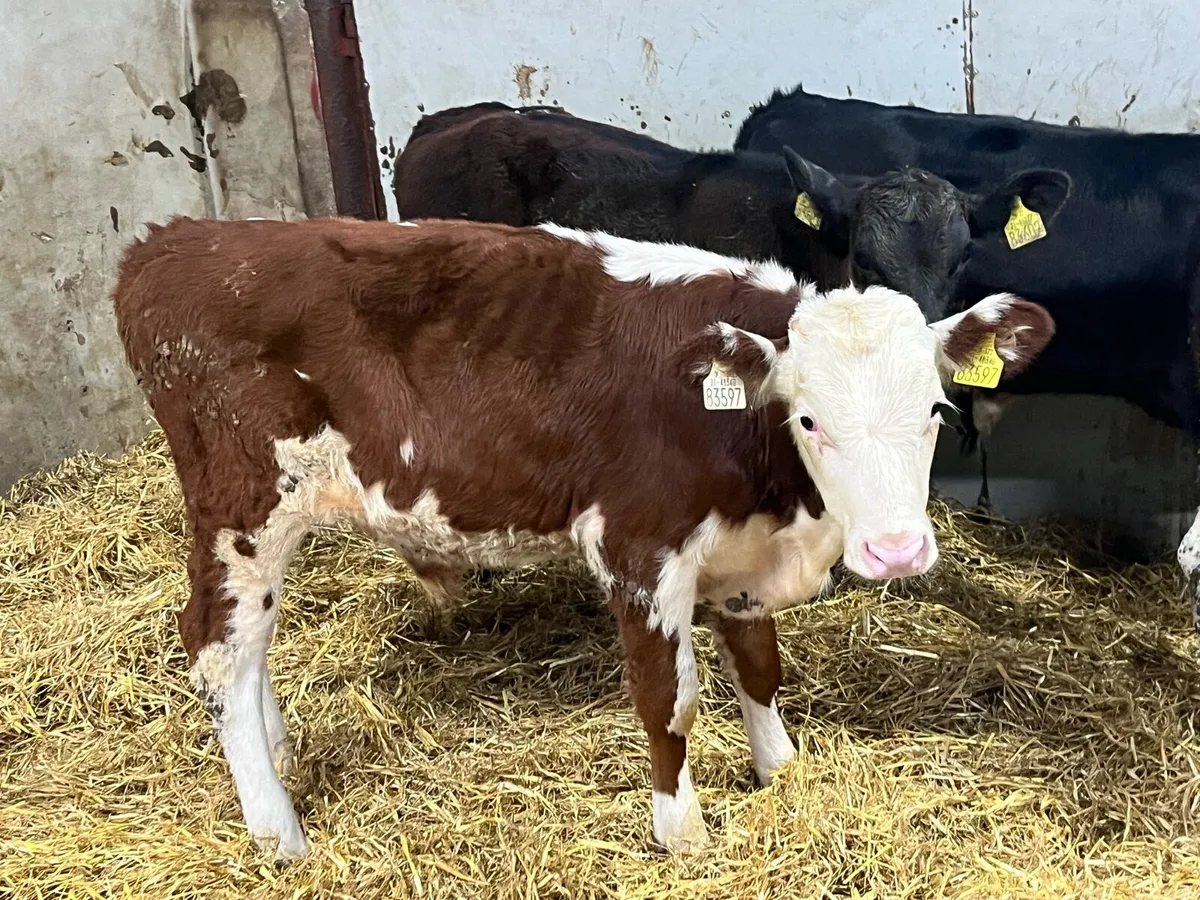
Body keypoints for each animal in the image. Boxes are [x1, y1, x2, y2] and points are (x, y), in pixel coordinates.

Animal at [111, 215, 1055, 859]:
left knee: (249, 650)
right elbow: (670, 702)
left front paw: (780, 770)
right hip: (242, 503)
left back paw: (276, 753)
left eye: (935, 410)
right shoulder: (637, 551)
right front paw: (681, 833)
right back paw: (279, 831)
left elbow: (760, 668)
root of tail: (174, 241)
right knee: (217, 650)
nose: (896, 551)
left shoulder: (744, 554)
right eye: (809, 418)